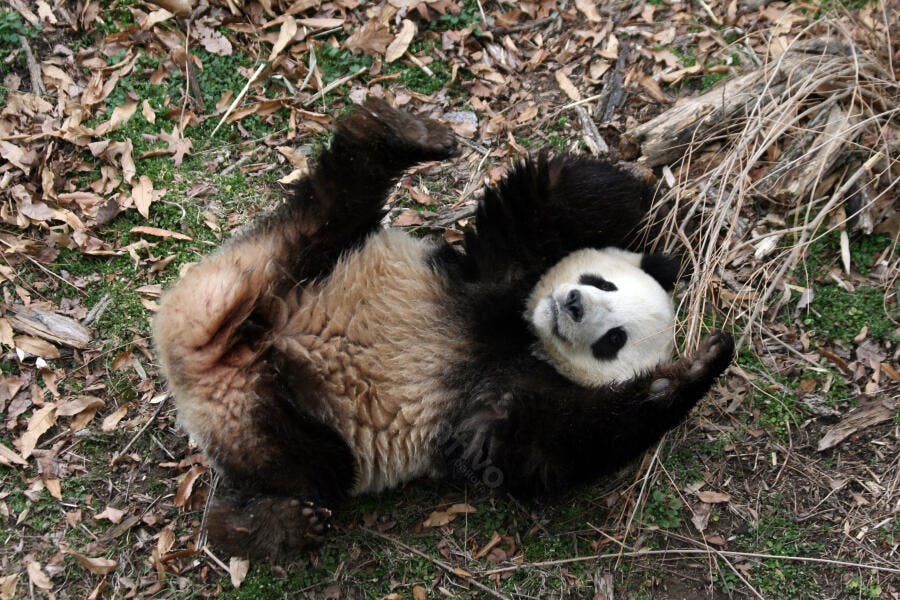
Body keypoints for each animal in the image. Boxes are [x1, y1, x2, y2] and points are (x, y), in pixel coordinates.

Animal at [152, 98, 733, 558]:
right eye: (601, 282)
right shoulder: (494, 268)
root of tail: (203, 353)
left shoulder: (496, 398)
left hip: (269, 409)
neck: (517, 331)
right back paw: (403, 132)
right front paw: (679, 216)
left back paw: (262, 524)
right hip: (271, 274)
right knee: (333, 210)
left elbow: (551, 445)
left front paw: (697, 367)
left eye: (614, 341)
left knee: (307, 466)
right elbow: (555, 194)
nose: (571, 304)